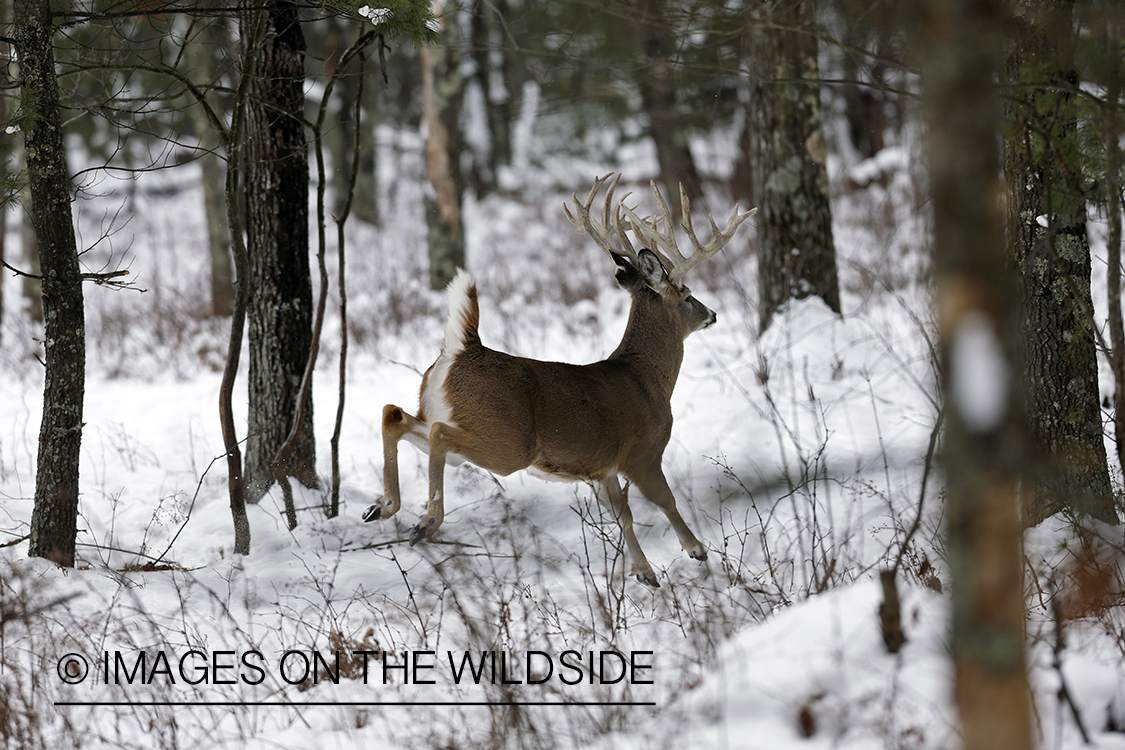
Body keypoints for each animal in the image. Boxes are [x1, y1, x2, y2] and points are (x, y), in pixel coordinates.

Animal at [364, 173, 756, 589]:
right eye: (687, 295)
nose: (712, 313)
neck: (646, 379)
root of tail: (461, 351)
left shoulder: (602, 469)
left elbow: (623, 516)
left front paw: (644, 572)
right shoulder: (642, 452)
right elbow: (666, 500)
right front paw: (696, 549)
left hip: (451, 419)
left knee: (394, 414)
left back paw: (382, 507)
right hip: (509, 443)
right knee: (438, 434)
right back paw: (425, 521)